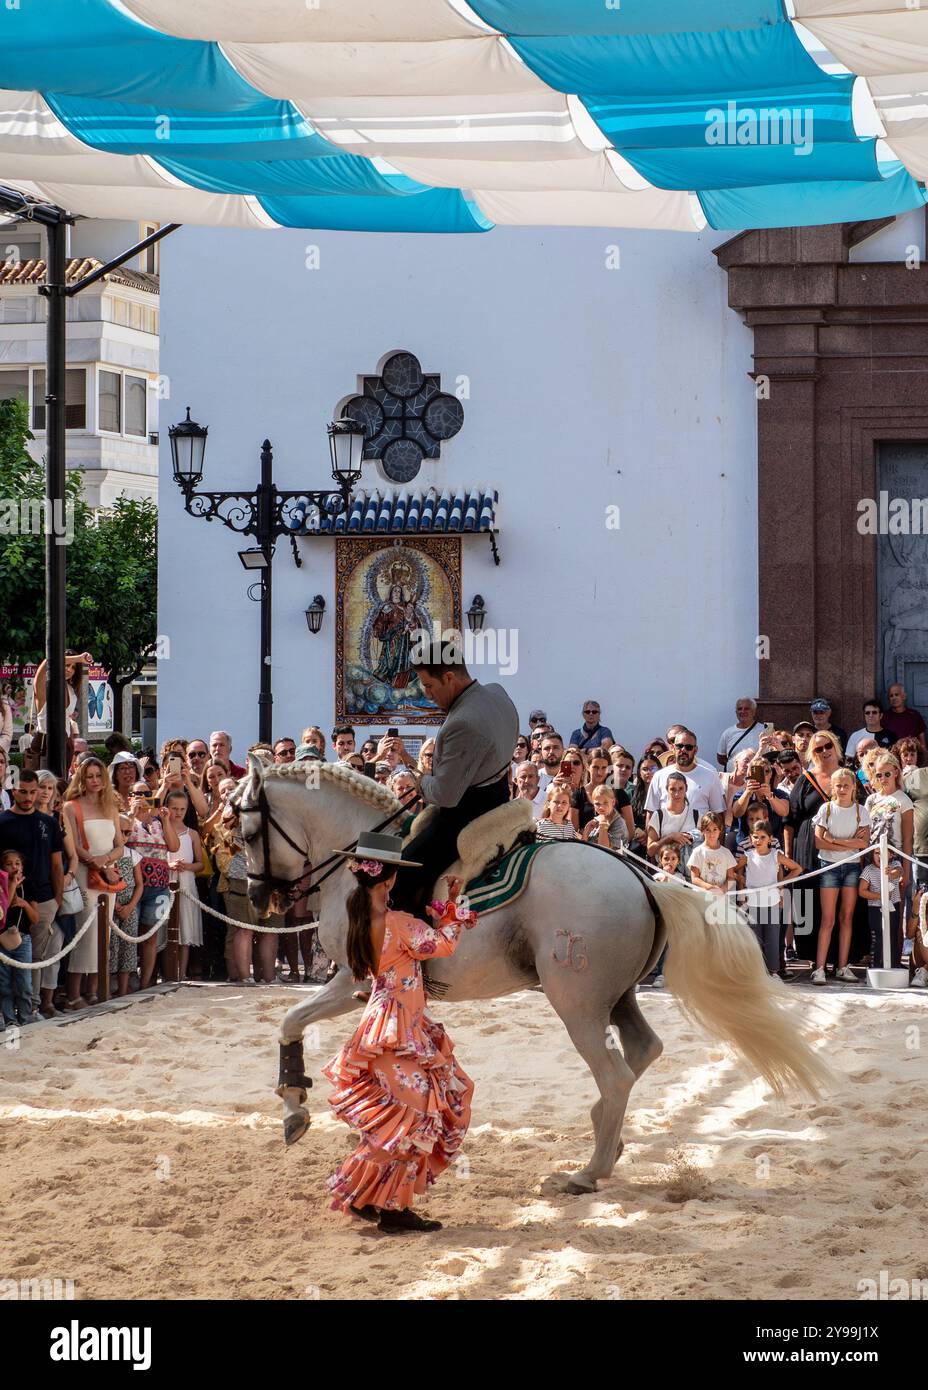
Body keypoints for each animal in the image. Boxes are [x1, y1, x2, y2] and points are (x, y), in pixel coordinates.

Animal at [236, 761, 827, 1195]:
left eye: (246, 830)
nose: (260, 896)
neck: (362, 864)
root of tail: (641, 879)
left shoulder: (355, 981)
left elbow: (291, 1020)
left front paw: (294, 1105)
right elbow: (305, 1025)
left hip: (578, 1006)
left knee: (615, 1073)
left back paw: (589, 1172)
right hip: (618, 998)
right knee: (642, 1051)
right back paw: (605, 1134)